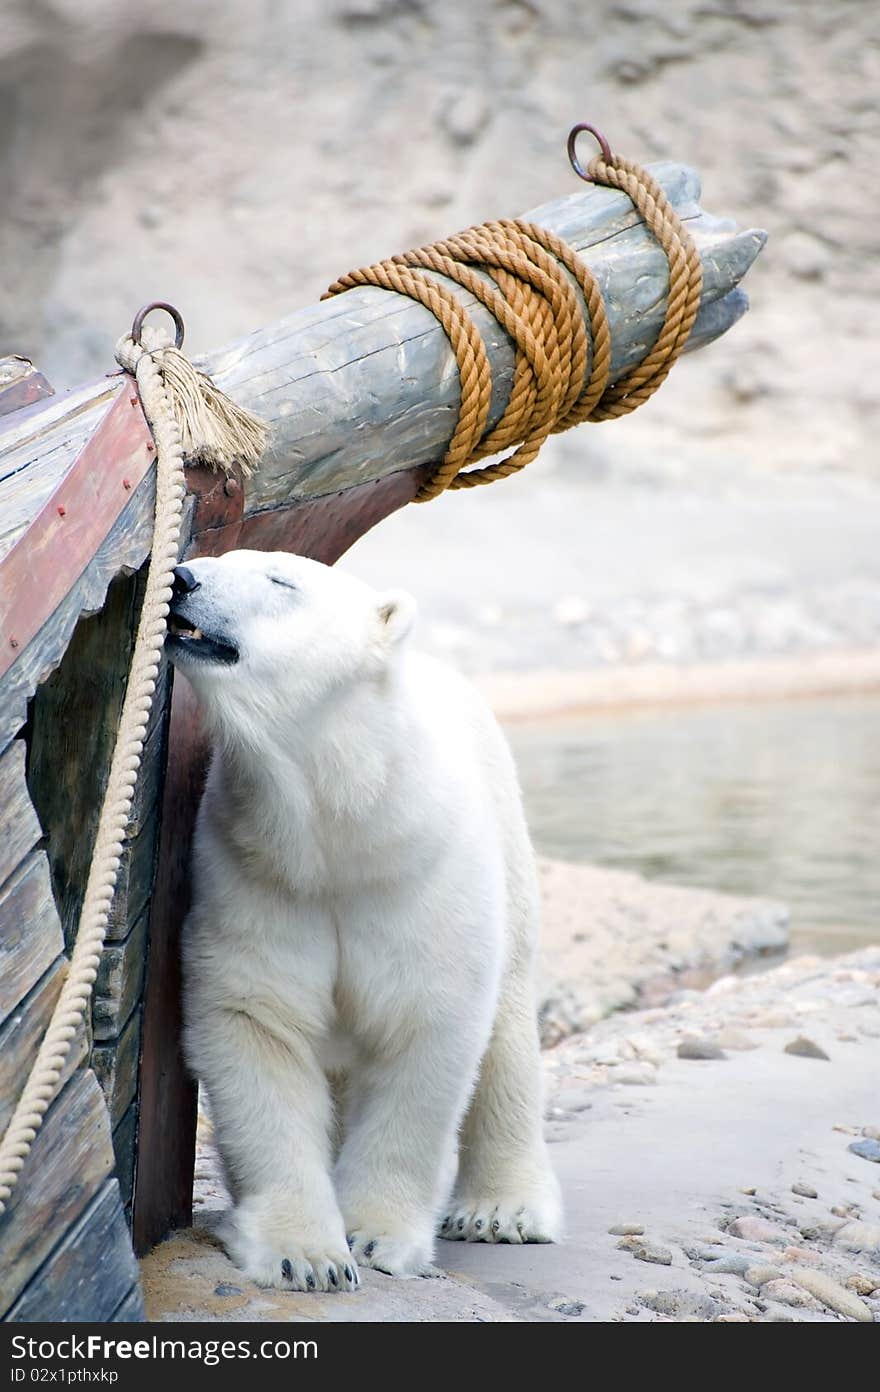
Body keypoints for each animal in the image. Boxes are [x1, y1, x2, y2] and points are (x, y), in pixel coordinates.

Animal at [168, 548, 559, 1286]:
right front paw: (304, 1255)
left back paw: (502, 1210)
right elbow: (259, 1020)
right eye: (223, 558)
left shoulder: (421, 875)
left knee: (508, 1028)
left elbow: (424, 1030)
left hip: (511, 850)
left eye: (281, 581)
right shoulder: (257, 872)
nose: (182, 579)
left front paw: (375, 1237)